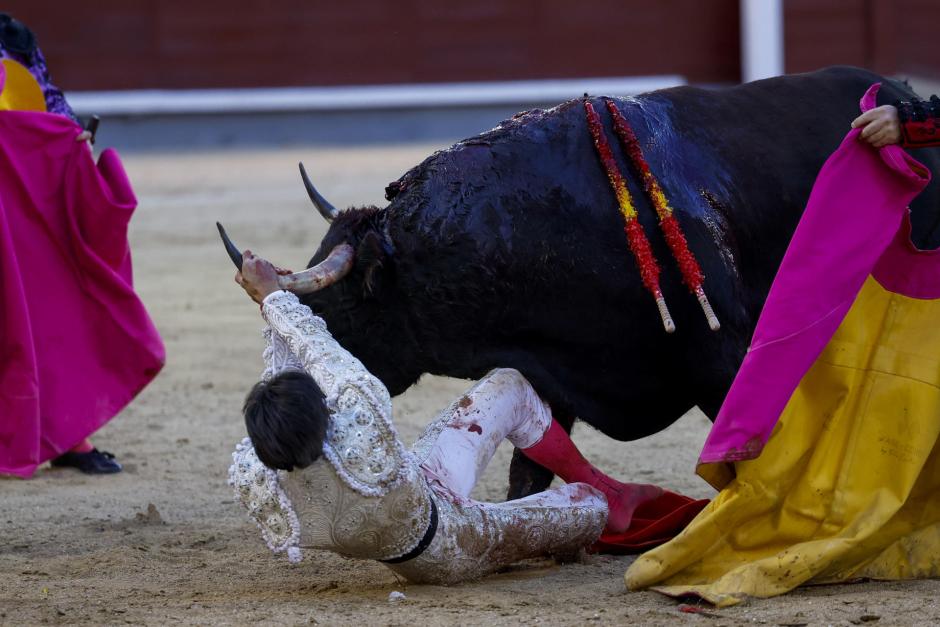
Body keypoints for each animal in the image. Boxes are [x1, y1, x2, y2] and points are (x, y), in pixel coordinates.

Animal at [294, 67, 940, 500]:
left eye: (336, 307)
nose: (298, 407)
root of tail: (902, 92)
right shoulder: (550, 371)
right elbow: (530, 469)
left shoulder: (721, 353)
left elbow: (741, 449)